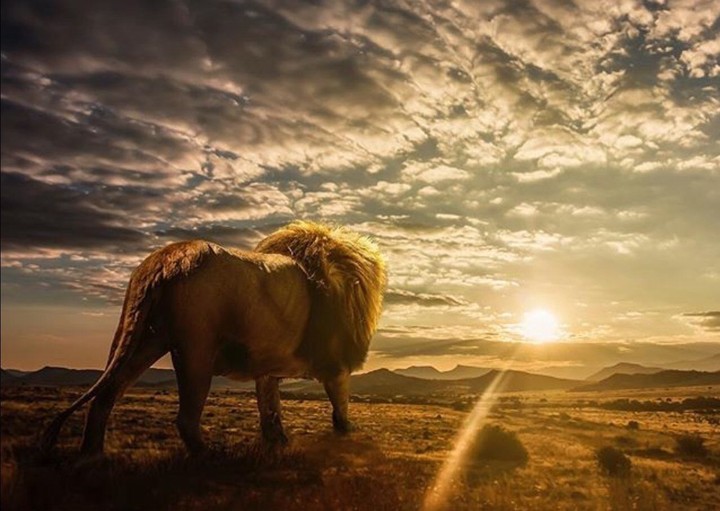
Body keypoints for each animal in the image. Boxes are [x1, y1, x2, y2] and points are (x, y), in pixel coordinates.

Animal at [41, 221, 386, 457]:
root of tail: (164, 260)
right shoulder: (337, 364)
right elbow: (340, 406)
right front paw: (346, 437)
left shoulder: (267, 368)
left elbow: (270, 410)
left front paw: (278, 445)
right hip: (196, 348)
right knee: (185, 418)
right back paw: (210, 458)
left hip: (141, 339)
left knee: (104, 398)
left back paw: (92, 457)